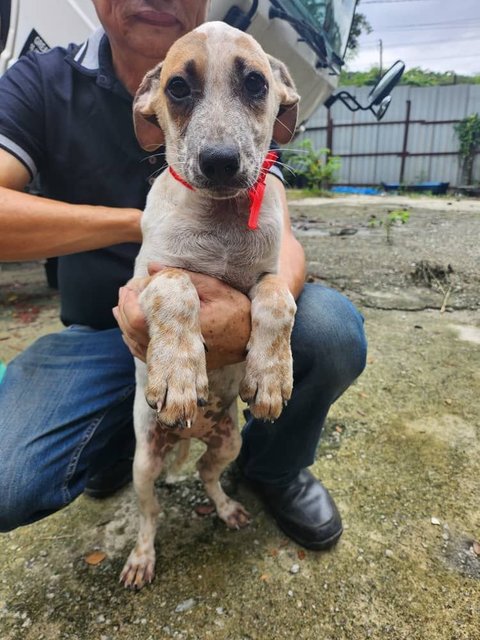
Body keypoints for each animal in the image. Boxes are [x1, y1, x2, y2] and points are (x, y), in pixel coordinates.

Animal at [119, 20, 298, 592]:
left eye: (256, 83)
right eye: (177, 87)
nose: (219, 162)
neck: (219, 220)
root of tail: (193, 433)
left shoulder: (269, 274)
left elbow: (279, 300)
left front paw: (270, 374)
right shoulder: (142, 280)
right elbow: (177, 285)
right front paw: (179, 372)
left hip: (229, 443)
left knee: (206, 474)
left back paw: (225, 508)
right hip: (143, 463)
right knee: (150, 512)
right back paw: (142, 557)